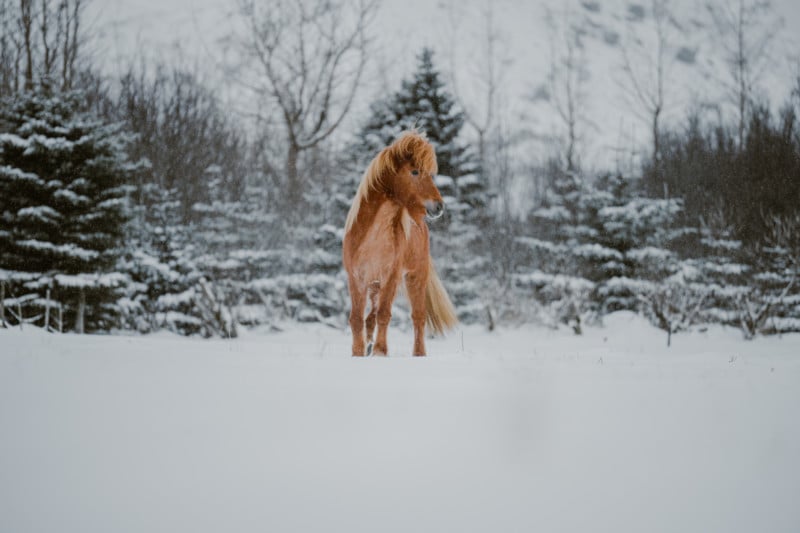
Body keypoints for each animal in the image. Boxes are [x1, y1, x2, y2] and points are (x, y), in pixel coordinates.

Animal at [342, 129, 460, 356]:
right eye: (414, 172)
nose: (439, 207)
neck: (373, 238)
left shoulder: (392, 276)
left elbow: (384, 314)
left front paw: (380, 351)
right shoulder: (356, 278)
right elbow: (356, 319)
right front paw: (358, 352)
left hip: (415, 276)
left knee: (418, 317)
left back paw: (418, 353)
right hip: (374, 284)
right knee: (370, 317)